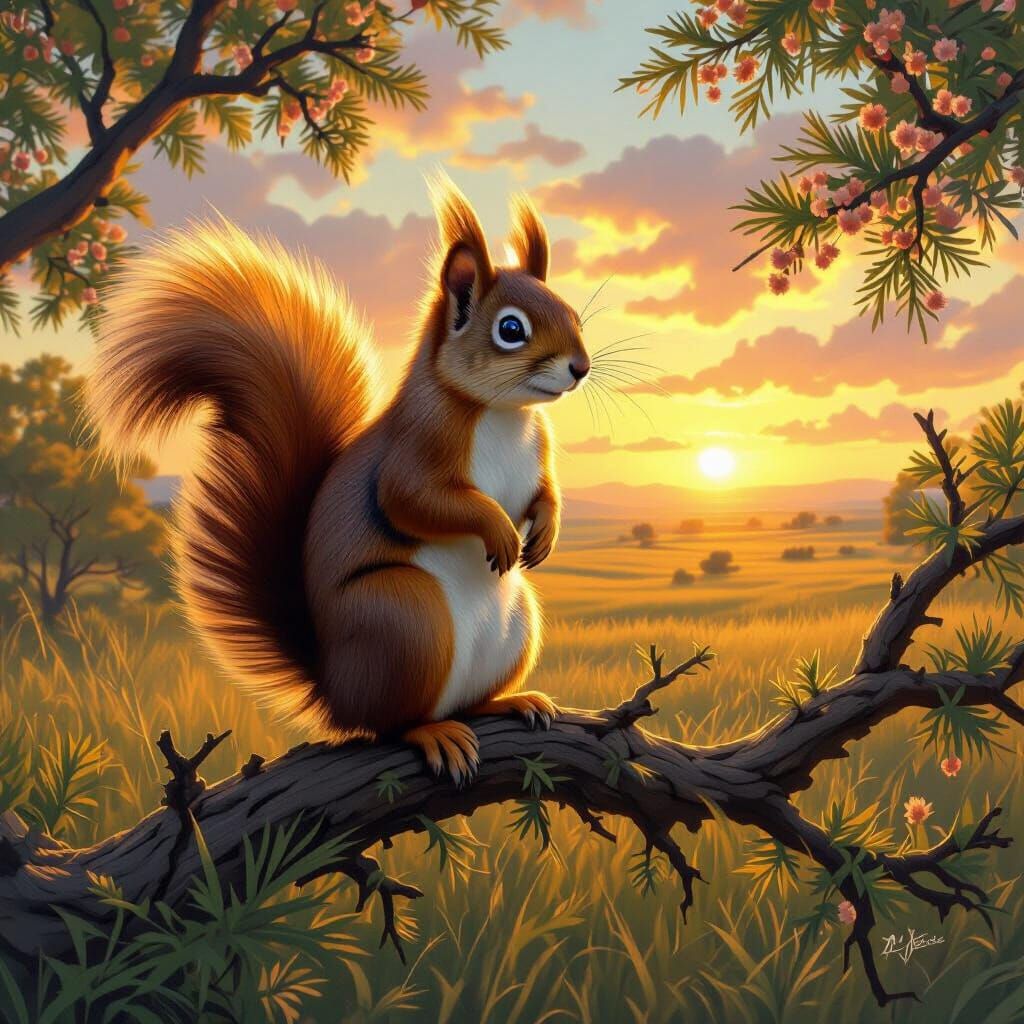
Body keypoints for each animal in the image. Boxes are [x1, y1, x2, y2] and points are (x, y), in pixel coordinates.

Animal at [87, 178, 591, 784]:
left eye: (573, 313)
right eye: (511, 329)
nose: (581, 368)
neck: (503, 412)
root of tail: (333, 689)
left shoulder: (538, 457)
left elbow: (544, 494)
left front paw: (547, 529)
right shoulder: (415, 446)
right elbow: (414, 500)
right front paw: (498, 528)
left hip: (514, 625)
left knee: (467, 701)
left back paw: (510, 701)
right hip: (404, 617)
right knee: (390, 724)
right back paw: (433, 733)